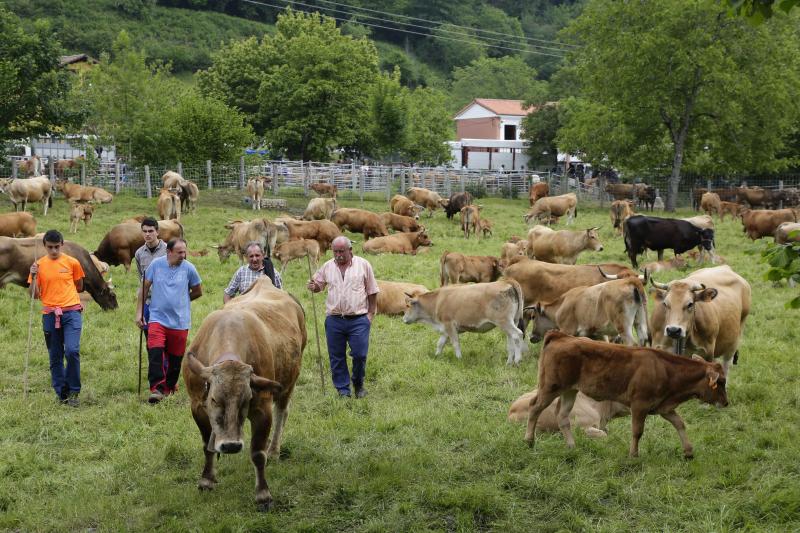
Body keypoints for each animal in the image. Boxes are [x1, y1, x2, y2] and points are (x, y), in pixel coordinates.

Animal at [185, 276, 306, 510]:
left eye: (247, 399)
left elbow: (258, 453)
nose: (231, 446)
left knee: (282, 413)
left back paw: (274, 450)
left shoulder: (262, 408)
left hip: (289, 382)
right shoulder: (197, 406)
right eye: (214, 399)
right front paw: (206, 479)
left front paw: (263, 494)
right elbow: (207, 446)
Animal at [524, 330, 732, 456]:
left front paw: (688, 451)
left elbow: (680, 424)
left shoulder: (664, 407)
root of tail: (560, 336)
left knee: (563, 417)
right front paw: (633, 454)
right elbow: (637, 431)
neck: (666, 370)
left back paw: (571, 446)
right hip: (550, 387)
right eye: (720, 382)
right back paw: (529, 440)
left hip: (569, 391)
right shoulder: (640, 405)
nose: (726, 402)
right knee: (534, 408)